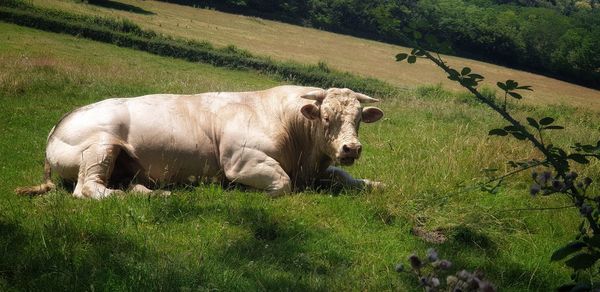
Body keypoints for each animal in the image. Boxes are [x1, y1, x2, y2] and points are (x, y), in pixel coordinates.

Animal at [17, 85, 390, 198]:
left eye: (359, 119)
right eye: (326, 118)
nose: (351, 148)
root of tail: (59, 124)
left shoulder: (319, 171)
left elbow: (345, 176)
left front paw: (375, 183)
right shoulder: (241, 160)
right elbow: (282, 184)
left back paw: (148, 191)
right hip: (100, 145)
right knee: (89, 189)